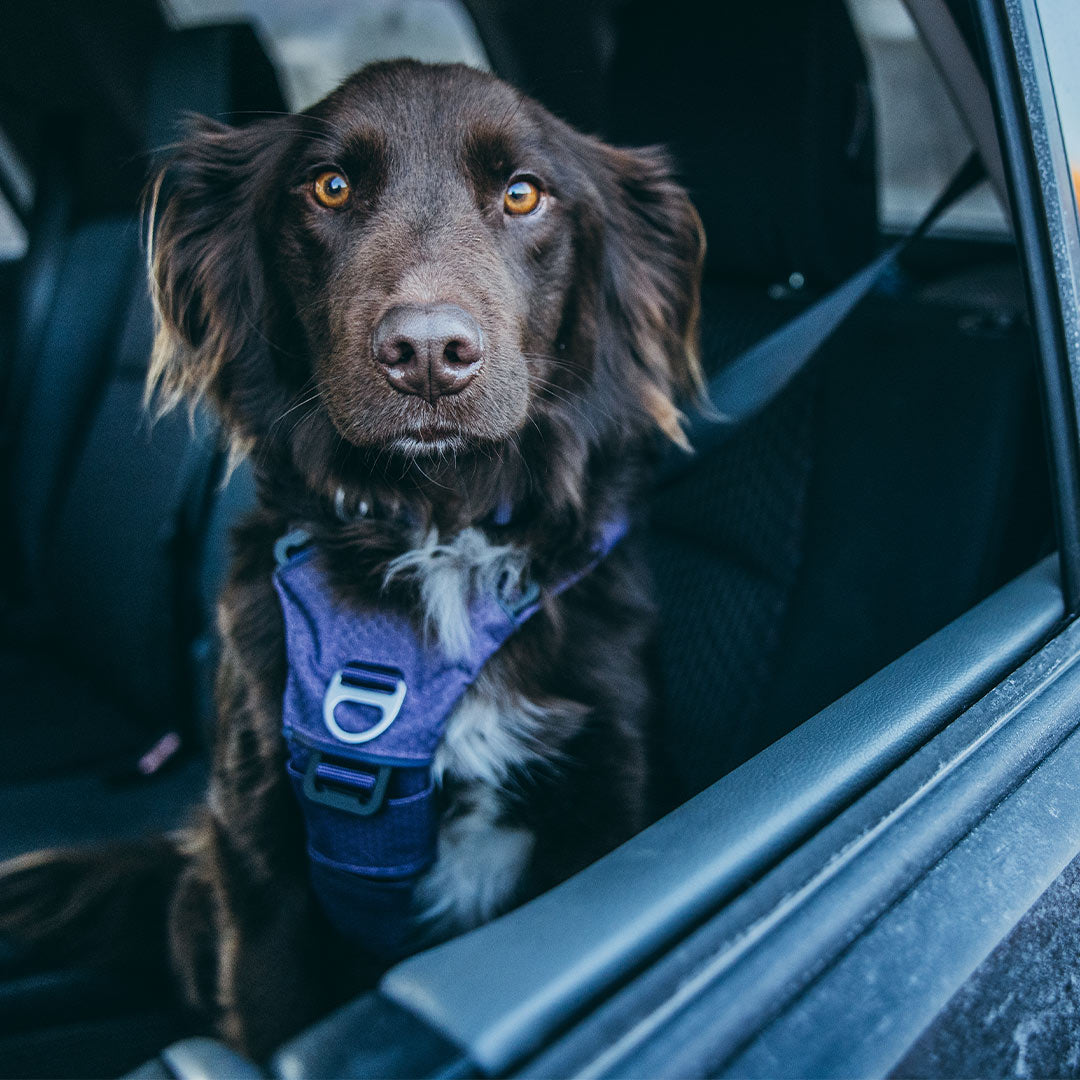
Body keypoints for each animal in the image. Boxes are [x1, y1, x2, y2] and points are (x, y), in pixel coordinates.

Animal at [0, 56, 699, 1054]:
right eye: (329, 187)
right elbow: (268, 1010)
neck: (438, 532)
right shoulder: (259, 867)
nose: (428, 353)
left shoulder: (612, 802)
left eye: (523, 193)